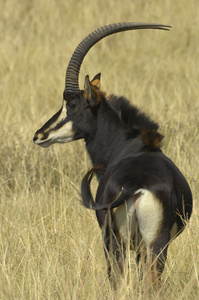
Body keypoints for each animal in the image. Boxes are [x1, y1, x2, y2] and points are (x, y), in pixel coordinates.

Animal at [33, 22, 192, 286]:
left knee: (119, 279)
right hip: (154, 245)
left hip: (116, 241)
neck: (130, 145)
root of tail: (136, 185)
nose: (39, 135)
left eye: (72, 104)